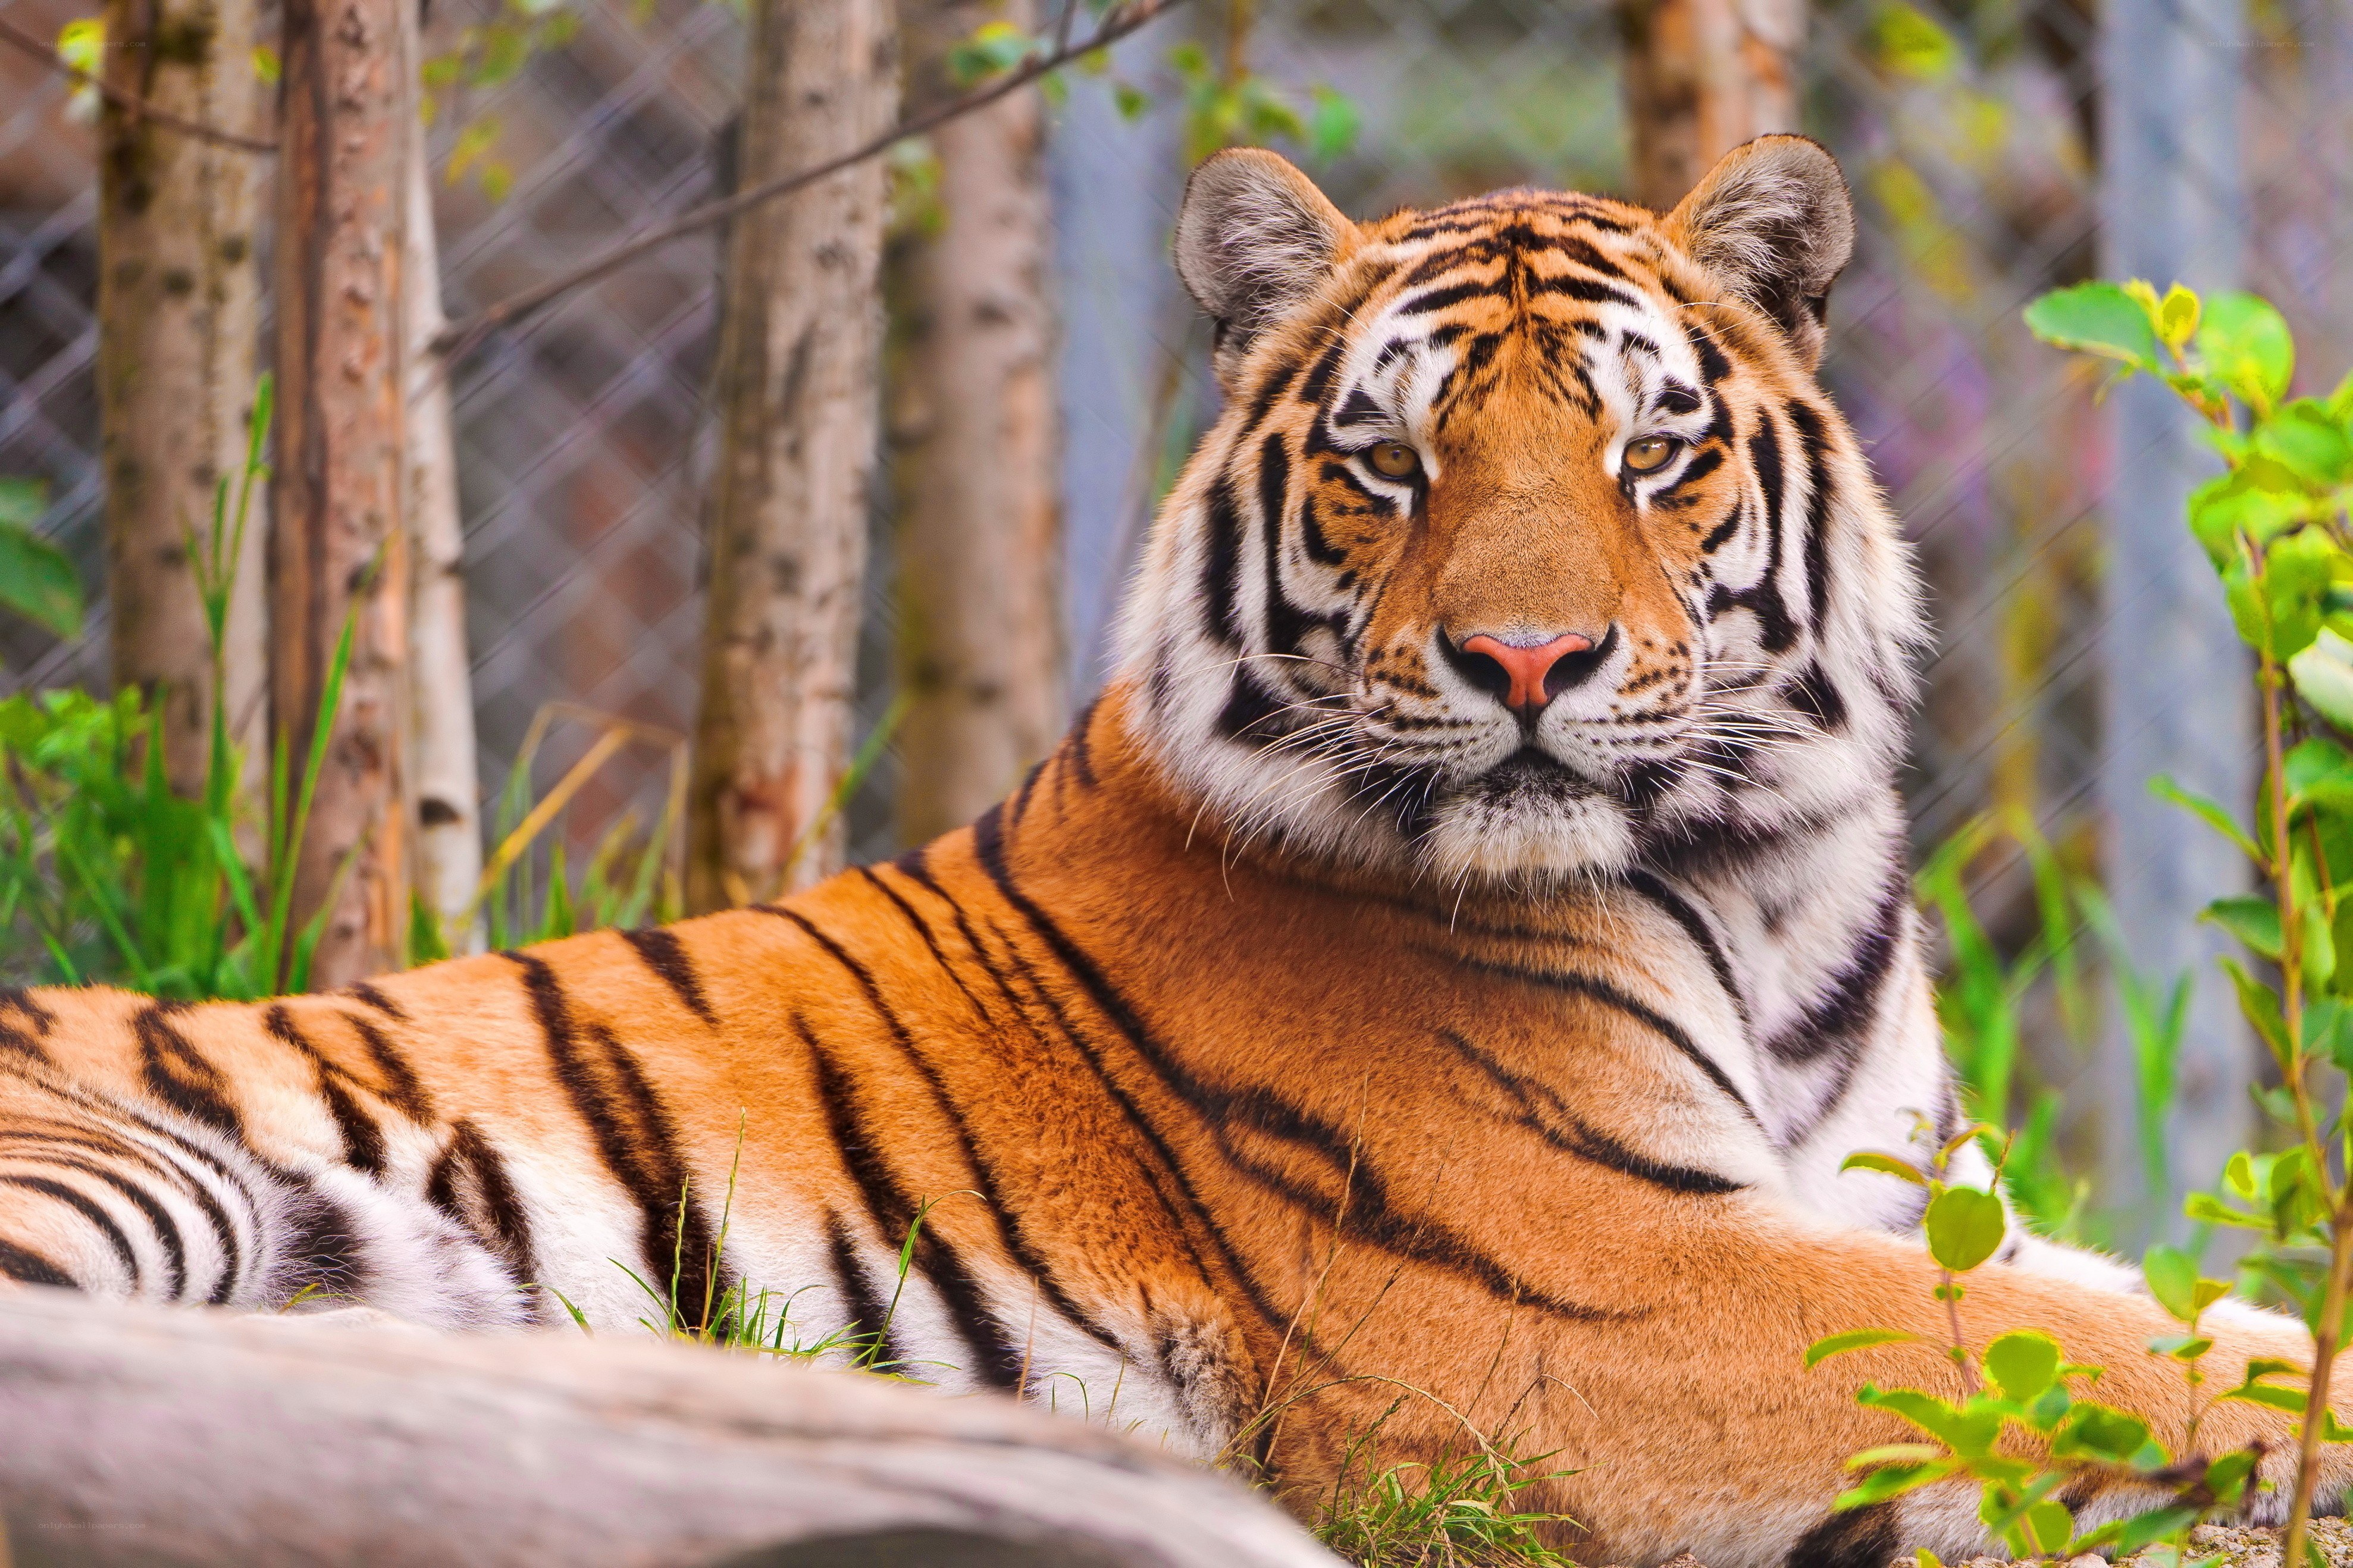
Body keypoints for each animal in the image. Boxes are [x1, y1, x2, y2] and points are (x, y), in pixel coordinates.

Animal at [0, 136, 2342, 1567]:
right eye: (1388, 463)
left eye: (1646, 451)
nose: (1524, 660)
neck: (1760, 885)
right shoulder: (1590, 1286)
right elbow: (2110, 1360)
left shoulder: (1900, 1202)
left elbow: (2149, 1315)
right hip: (139, 1166)